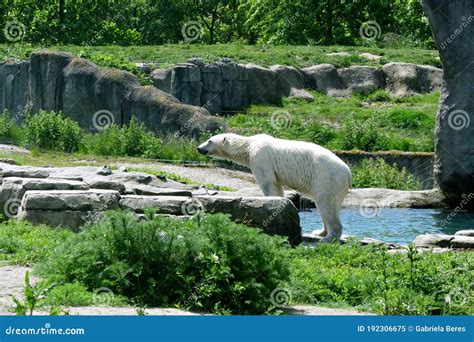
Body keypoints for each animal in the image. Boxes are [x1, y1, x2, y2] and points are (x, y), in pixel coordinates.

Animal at [197, 132, 352, 242]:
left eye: (209, 140)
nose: (198, 148)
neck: (249, 145)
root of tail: (348, 173)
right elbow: (277, 185)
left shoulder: (261, 158)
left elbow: (268, 182)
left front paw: (272, 203)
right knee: (329, 206)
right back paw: (320, 232)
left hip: (327, 178)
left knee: (325, 203)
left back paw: (328, 238)